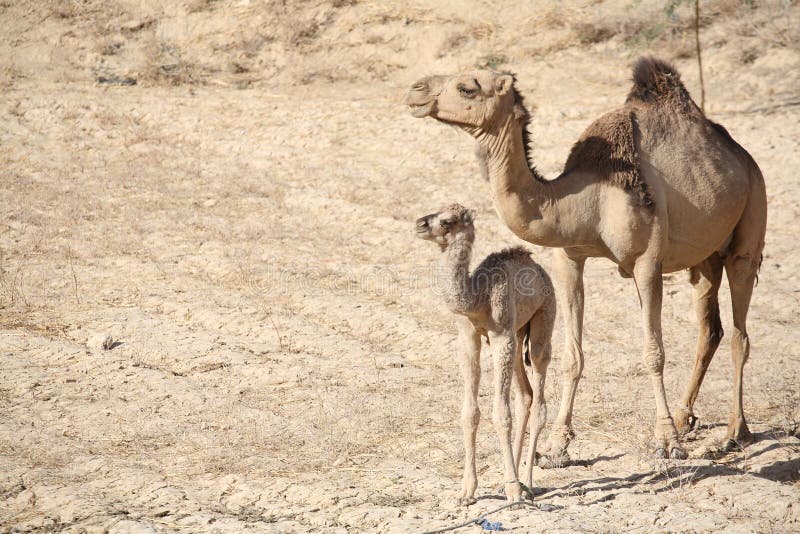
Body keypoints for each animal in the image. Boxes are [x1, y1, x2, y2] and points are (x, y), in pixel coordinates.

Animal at [412, 205, 556, 506]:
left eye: (447, 221)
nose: (419, 224)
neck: (478, 297)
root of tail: (541, 272)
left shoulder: (501, 336)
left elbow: (501, 413)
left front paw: (513, 491)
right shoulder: (468, 337)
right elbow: (470, 413)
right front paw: (466, 492)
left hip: (544, 317)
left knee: (539, 395)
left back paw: (526, 483)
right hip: (518, 335)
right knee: (525, 395)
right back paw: (513, 479)